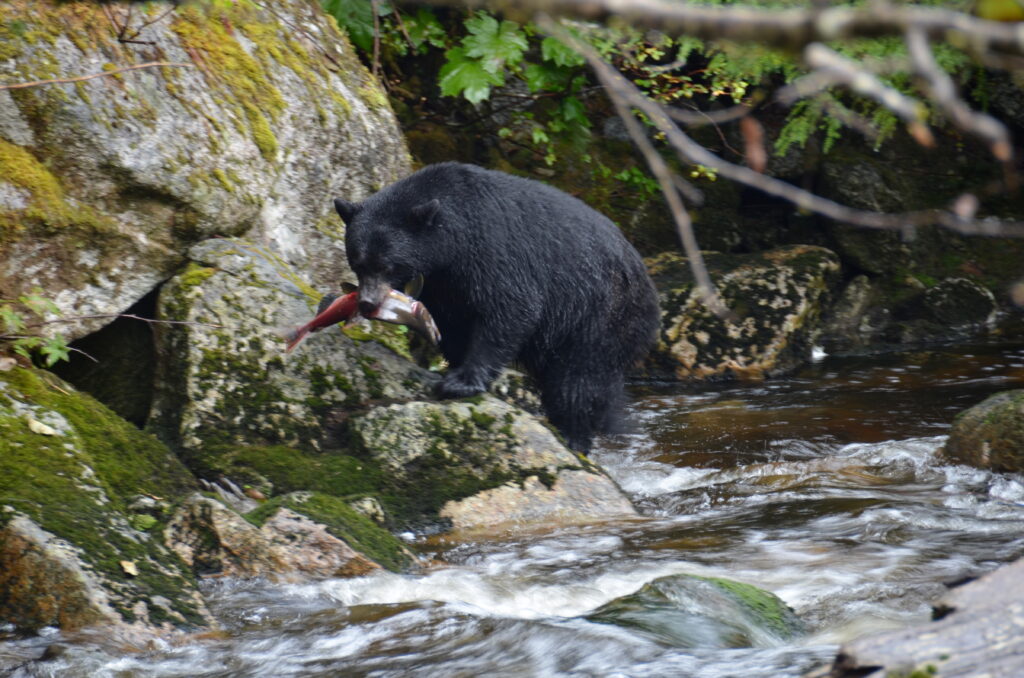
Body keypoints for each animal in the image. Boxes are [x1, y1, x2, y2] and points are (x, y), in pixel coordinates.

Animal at [334, 162, 660, 453]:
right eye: (358, 262)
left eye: (386, 265)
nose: (367, 302)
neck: (452, 240)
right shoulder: (443, 284)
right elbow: (452, 324)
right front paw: (454, 366)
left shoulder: (493, 253)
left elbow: (509, 310)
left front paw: (461, 382)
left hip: (601, 316)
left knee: (577, 382)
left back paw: (574, 436)